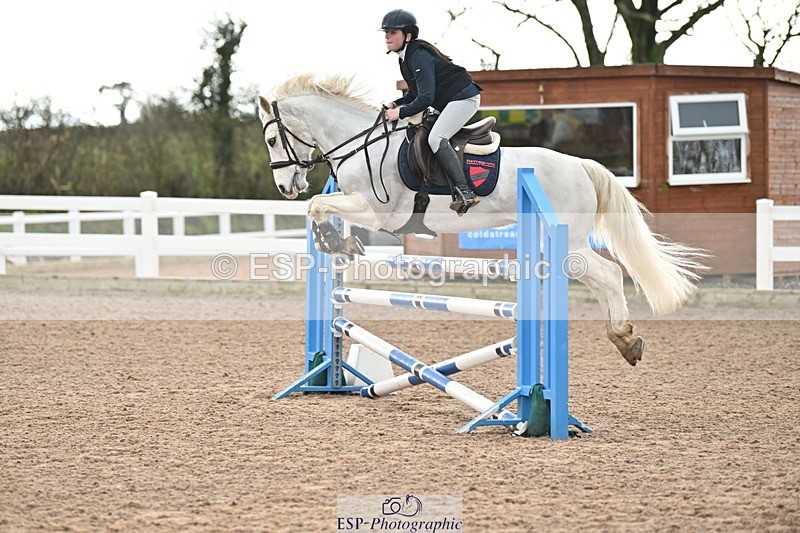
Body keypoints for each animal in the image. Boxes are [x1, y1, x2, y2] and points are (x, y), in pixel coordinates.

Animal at [257, 74, 707, 366]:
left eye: (272, 139)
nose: (285, 186)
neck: (361, 144)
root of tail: (581, 164)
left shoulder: (379, 210)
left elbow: (317, 205)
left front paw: (335, 243)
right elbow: (319, 205)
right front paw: (341, 244)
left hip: (571, 243)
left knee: (609, 275)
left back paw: (626, 339)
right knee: (601, 279)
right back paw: (625, 339)